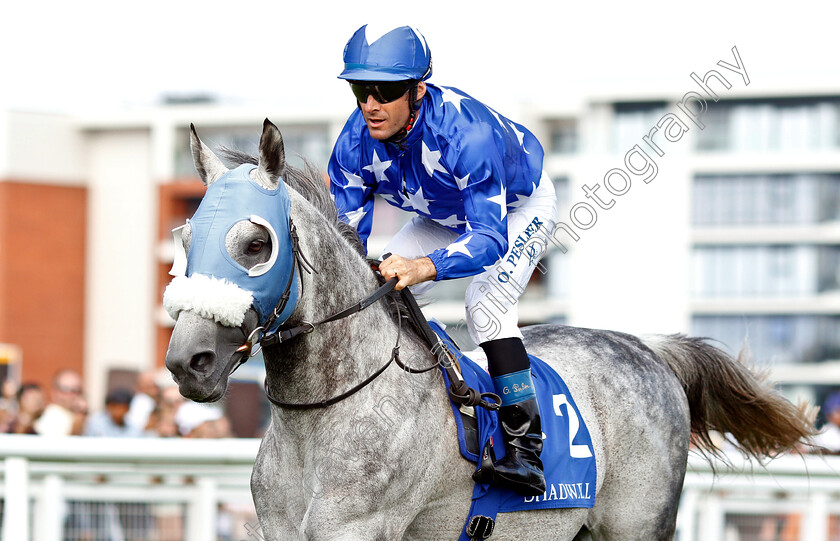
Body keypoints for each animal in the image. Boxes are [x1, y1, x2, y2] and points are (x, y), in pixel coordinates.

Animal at [162, 121, 812, 540]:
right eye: (186, 238)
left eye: (256, 243)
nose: (187, 362)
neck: (324, 415)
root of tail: (644, 346)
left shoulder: (359, 527)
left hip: (637, 523)